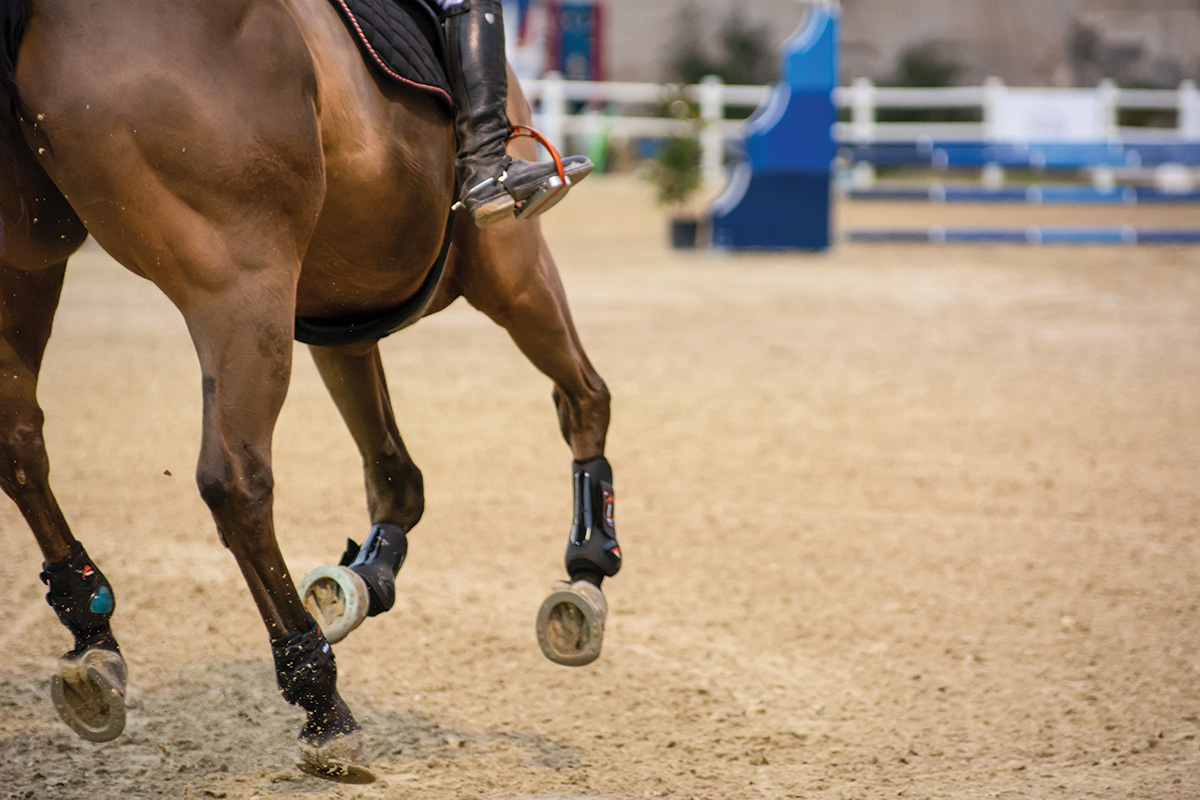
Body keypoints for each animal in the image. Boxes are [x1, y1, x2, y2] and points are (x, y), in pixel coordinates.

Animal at [0, 0, 619, 782]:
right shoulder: (508, 261)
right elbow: (584, 398)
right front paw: (587, 574)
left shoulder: (340, 308)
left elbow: (397, 476)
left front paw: (362, 582)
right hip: (243, 281)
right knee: (236, 484)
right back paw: (319, 697)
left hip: (29, 260)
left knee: (20, 443)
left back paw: (92, 638)